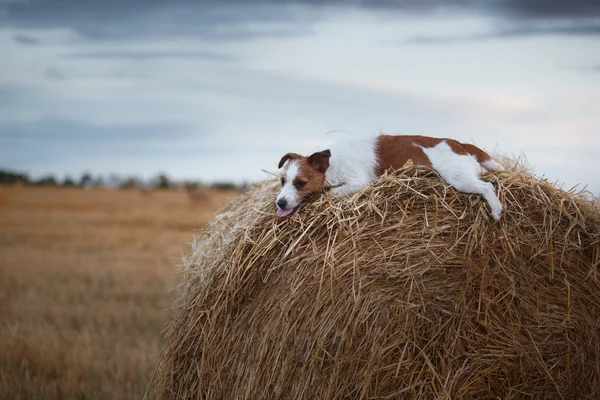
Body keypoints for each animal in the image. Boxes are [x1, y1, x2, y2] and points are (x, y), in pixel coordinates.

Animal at [274, 136, 504, 220]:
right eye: (282, 181)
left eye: (301, 184)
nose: (280, 203)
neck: (332, 164)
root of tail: (461, 145)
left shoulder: (358, 182)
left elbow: (330, 193)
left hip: (460, 179)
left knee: (488, 187)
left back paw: (496, 210)